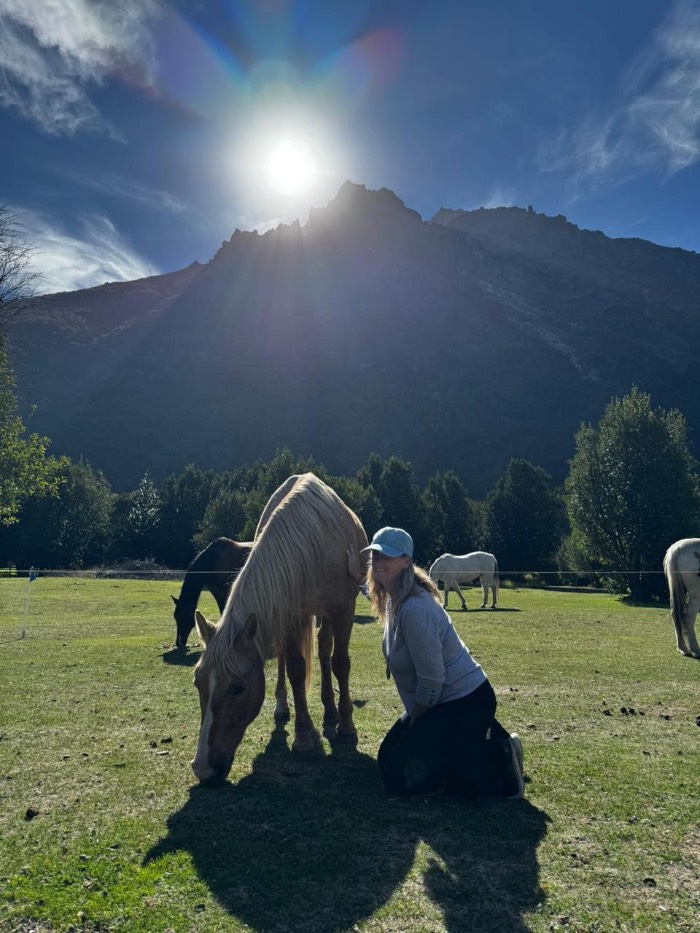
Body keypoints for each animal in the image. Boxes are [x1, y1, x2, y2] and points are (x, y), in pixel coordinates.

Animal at [191, 472, 369, 783]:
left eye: (238, 688)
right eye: (197, 682)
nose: (203, 768)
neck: (309, 544)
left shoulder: (344, 607)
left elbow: (340, 663)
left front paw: (347, 727)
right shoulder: (287, 611)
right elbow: (296, 670)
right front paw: (302, 737)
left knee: (325, 651)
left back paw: (331, 711)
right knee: (290, 661)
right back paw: (284, 706)